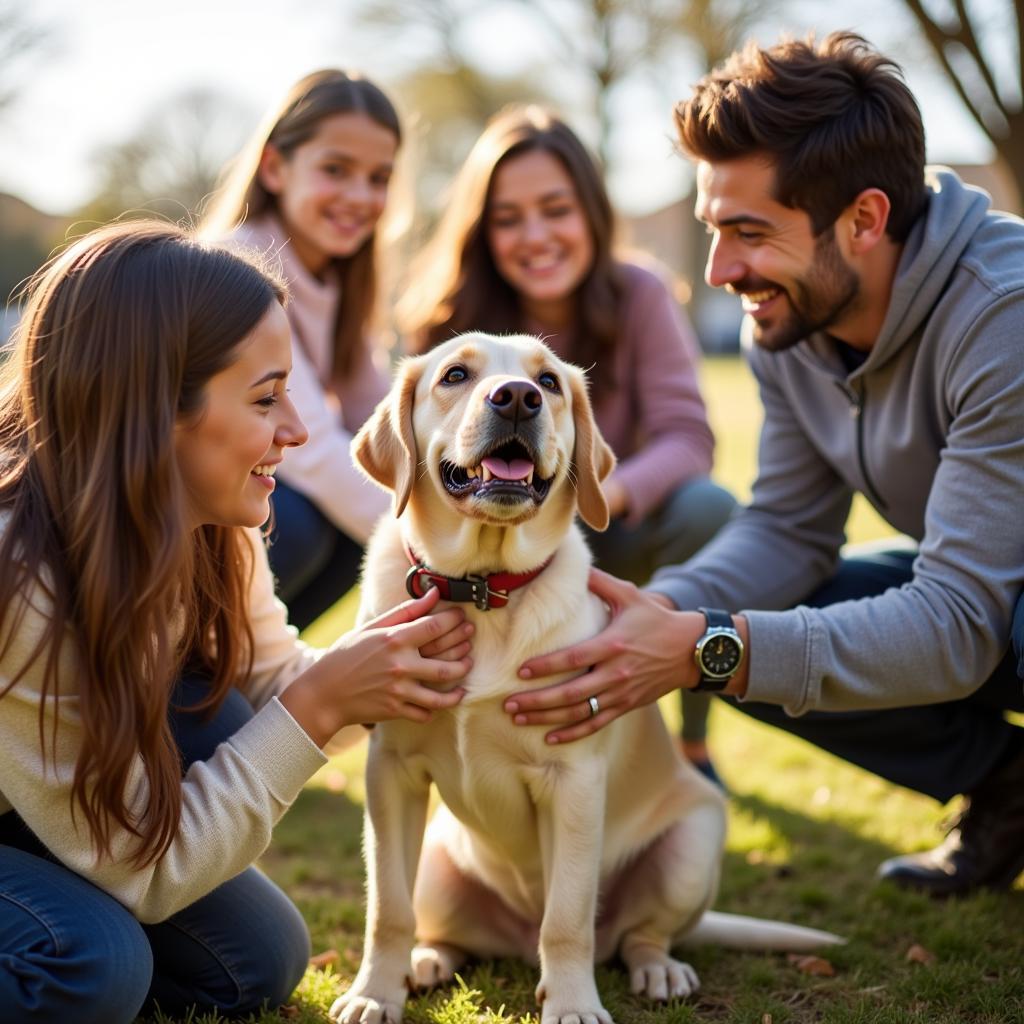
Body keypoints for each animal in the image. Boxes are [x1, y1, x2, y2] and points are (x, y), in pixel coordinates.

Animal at [329, 335, 839, 1024]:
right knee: (448, 930)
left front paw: (571, 1004)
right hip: (437, 861)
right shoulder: (391, 772)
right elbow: (388, 906)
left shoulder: (571, 781)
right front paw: (375, 993)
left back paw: (659, 970)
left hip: (694, 840)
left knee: (635, 936)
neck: (484, 590)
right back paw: (428, 960)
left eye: (549, 381)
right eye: (455, 375)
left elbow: (568, 919)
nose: (518, 398)